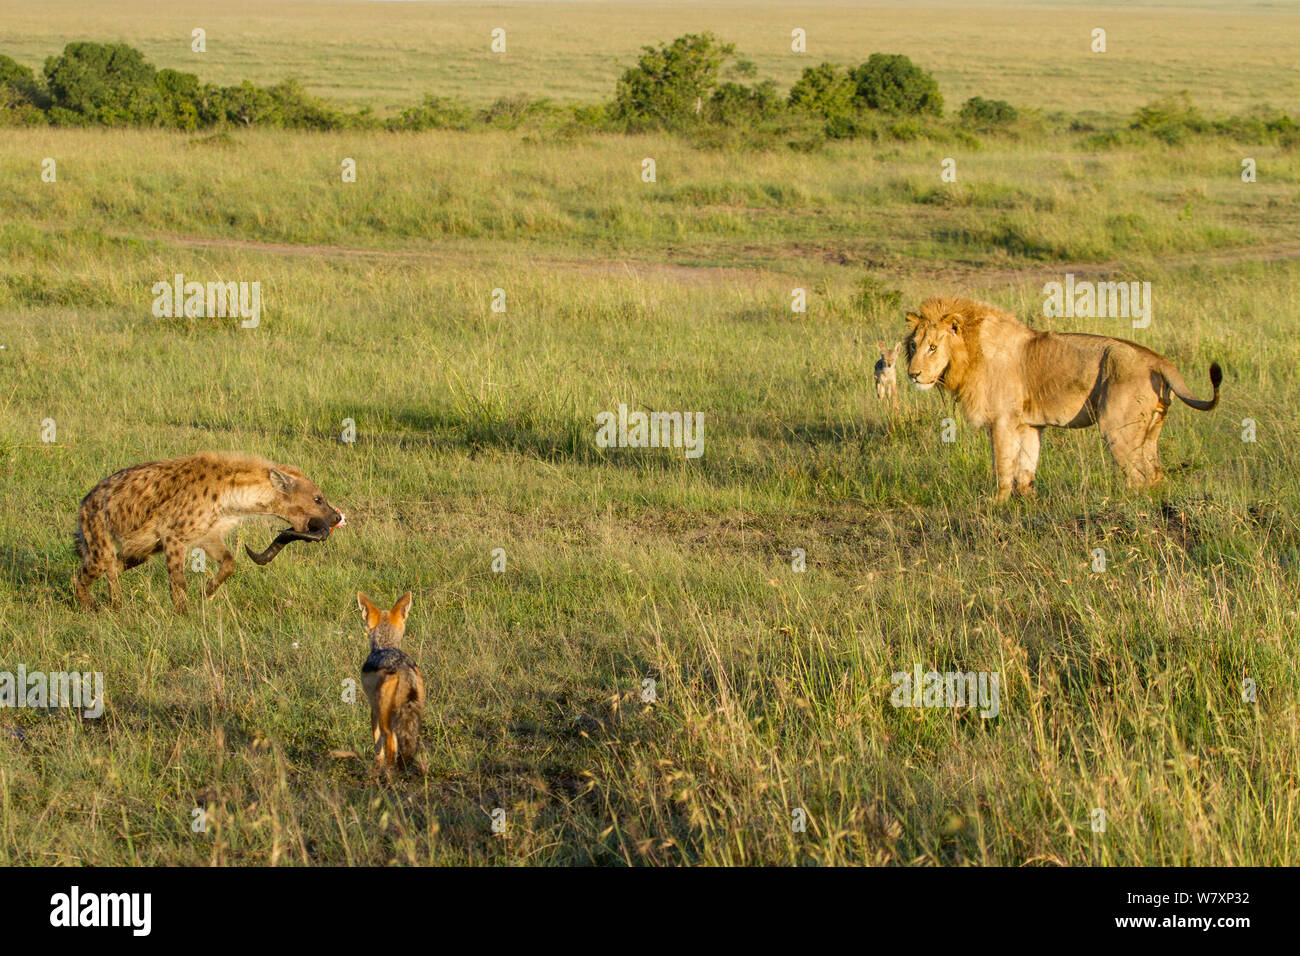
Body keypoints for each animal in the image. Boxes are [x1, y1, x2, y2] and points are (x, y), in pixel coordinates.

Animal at [904, 296, 1221, 500]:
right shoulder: (1029, 425)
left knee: (1140, 477)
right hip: (1150, 431)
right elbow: (1026, 468)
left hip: (1117, 429)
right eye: (914, 345)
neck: (969, 354)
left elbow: (1002, 466)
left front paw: (996, 504)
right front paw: (1027, 501)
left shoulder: (1002, 421)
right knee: (1155, 474)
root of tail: (1157, 359)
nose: (913, 374)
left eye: (933, 347)